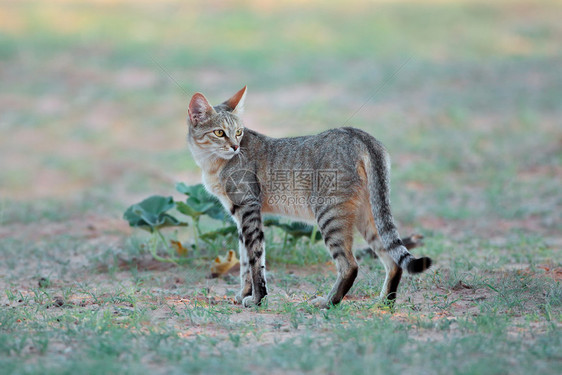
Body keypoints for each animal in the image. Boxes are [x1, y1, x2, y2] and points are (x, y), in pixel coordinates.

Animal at [186, 86, 430, 310]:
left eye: (238, 132)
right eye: (219, 133)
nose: (235, 147)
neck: (211, 164)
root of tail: (359, 134)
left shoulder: (248, 209)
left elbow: (256, 261)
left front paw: (257, 299)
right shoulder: (238, 215)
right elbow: (245, 260)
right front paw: (244, 294)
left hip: (329, 214)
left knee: (350, 265)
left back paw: (329, 301)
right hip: (369, 217)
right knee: (393, 261)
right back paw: (384, 304)